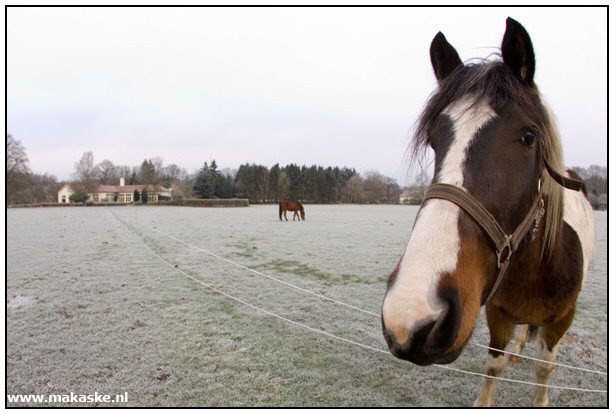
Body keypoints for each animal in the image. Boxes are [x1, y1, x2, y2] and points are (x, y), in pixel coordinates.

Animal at [381, 18, 595, 407]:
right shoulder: (497, 315)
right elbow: (494, 366)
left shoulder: (561, 321)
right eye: (434, 139)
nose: (411, 312)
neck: (534, 269)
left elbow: (544, 371)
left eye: (529, 137)